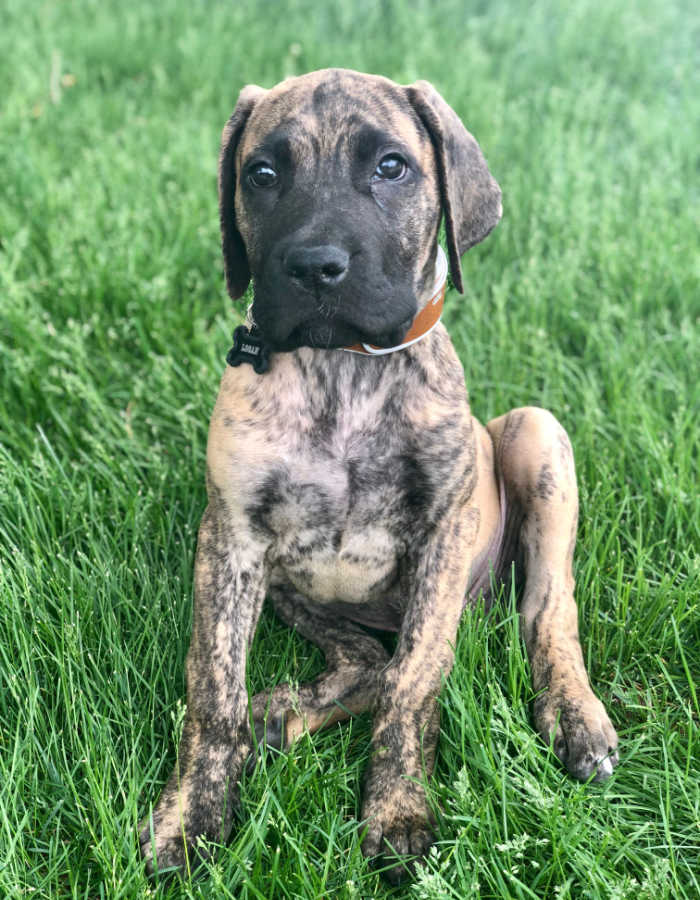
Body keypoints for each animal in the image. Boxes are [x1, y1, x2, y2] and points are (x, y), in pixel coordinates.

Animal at [141, 67, 616, 884]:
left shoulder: (441, 539)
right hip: (288, 584)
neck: (343, 372)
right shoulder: (231, 538)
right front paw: (191, 818)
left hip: (535, 434)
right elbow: (214, 688)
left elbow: (413, 680)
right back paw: (281, 714)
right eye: (261, 174)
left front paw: (396, 813)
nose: (314, 266)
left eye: (392, 167)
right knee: (362, 658)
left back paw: (574, 716)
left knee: (544, 610)